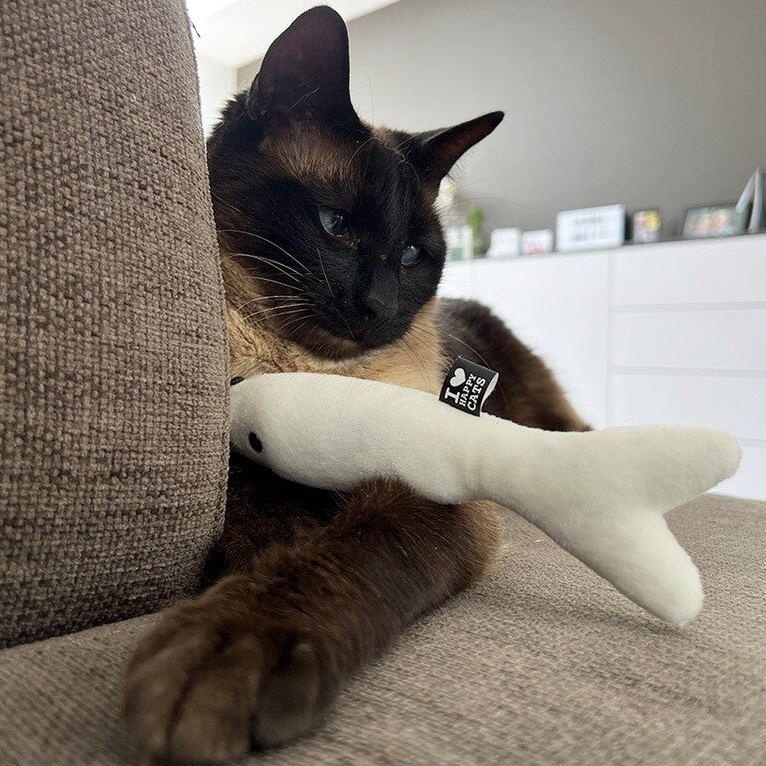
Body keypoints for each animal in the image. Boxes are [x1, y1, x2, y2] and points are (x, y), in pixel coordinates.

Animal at [124, 6, 588, 763]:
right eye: (334, 224)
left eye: (412, 256)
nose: (376, 306)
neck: (310, 374)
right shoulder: (242, 459)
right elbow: (269, 529)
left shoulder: (428, 489)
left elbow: (342, 555)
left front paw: (228, 651)